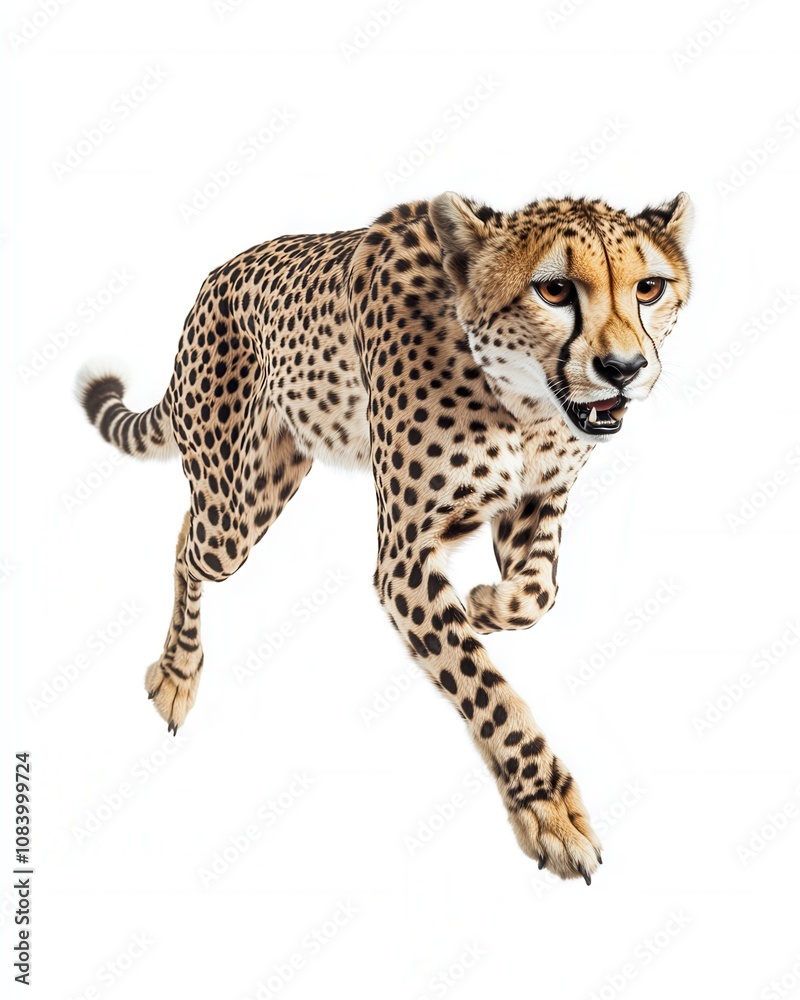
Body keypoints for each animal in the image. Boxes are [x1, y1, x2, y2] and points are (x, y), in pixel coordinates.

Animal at [76, 190, 693, 882]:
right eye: (554, 289)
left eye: (649, 288)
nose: (624, 369)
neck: (521, 401)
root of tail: (216, 275)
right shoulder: (405, 559)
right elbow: (485, 688)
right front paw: (549, 811)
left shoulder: (538, 499)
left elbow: (538, 593)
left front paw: (486, 604)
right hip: (228, 515)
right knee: (188, 546)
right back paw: (179, 673)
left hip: (270, 479)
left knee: (186, 523)